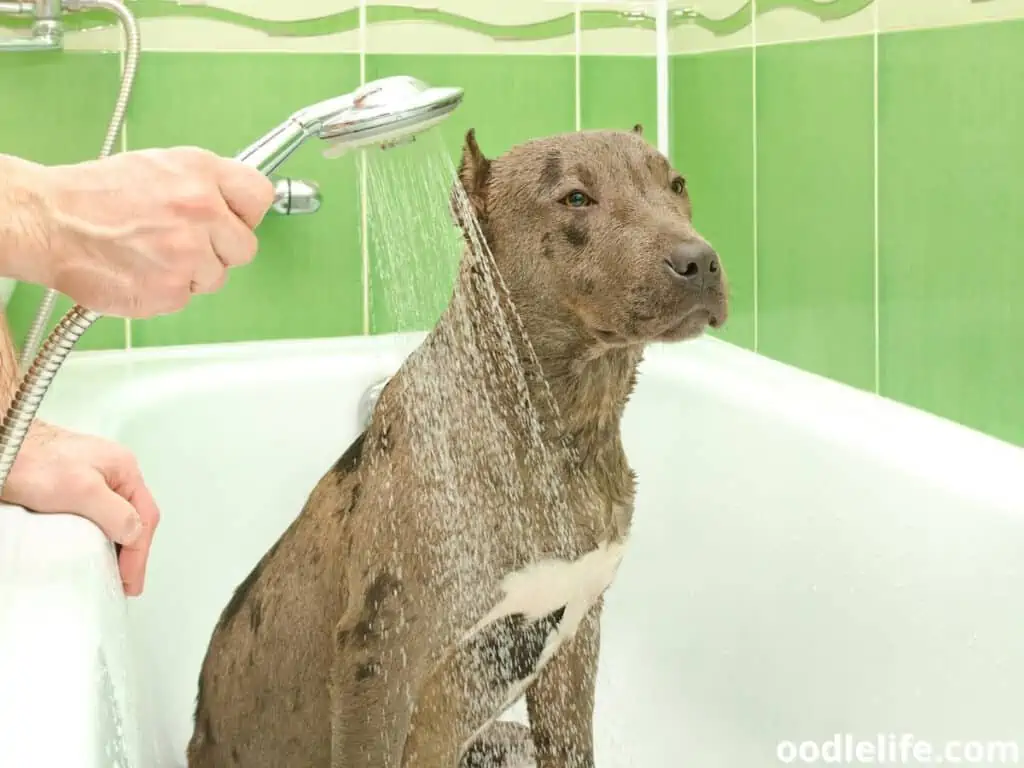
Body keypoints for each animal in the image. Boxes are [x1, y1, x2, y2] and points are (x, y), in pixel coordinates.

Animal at [186, 128, 729, 768]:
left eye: (677, 184)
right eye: (575, 198)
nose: (700, 261)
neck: (551, 430)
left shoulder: (575, 638)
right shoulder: (379, 664)